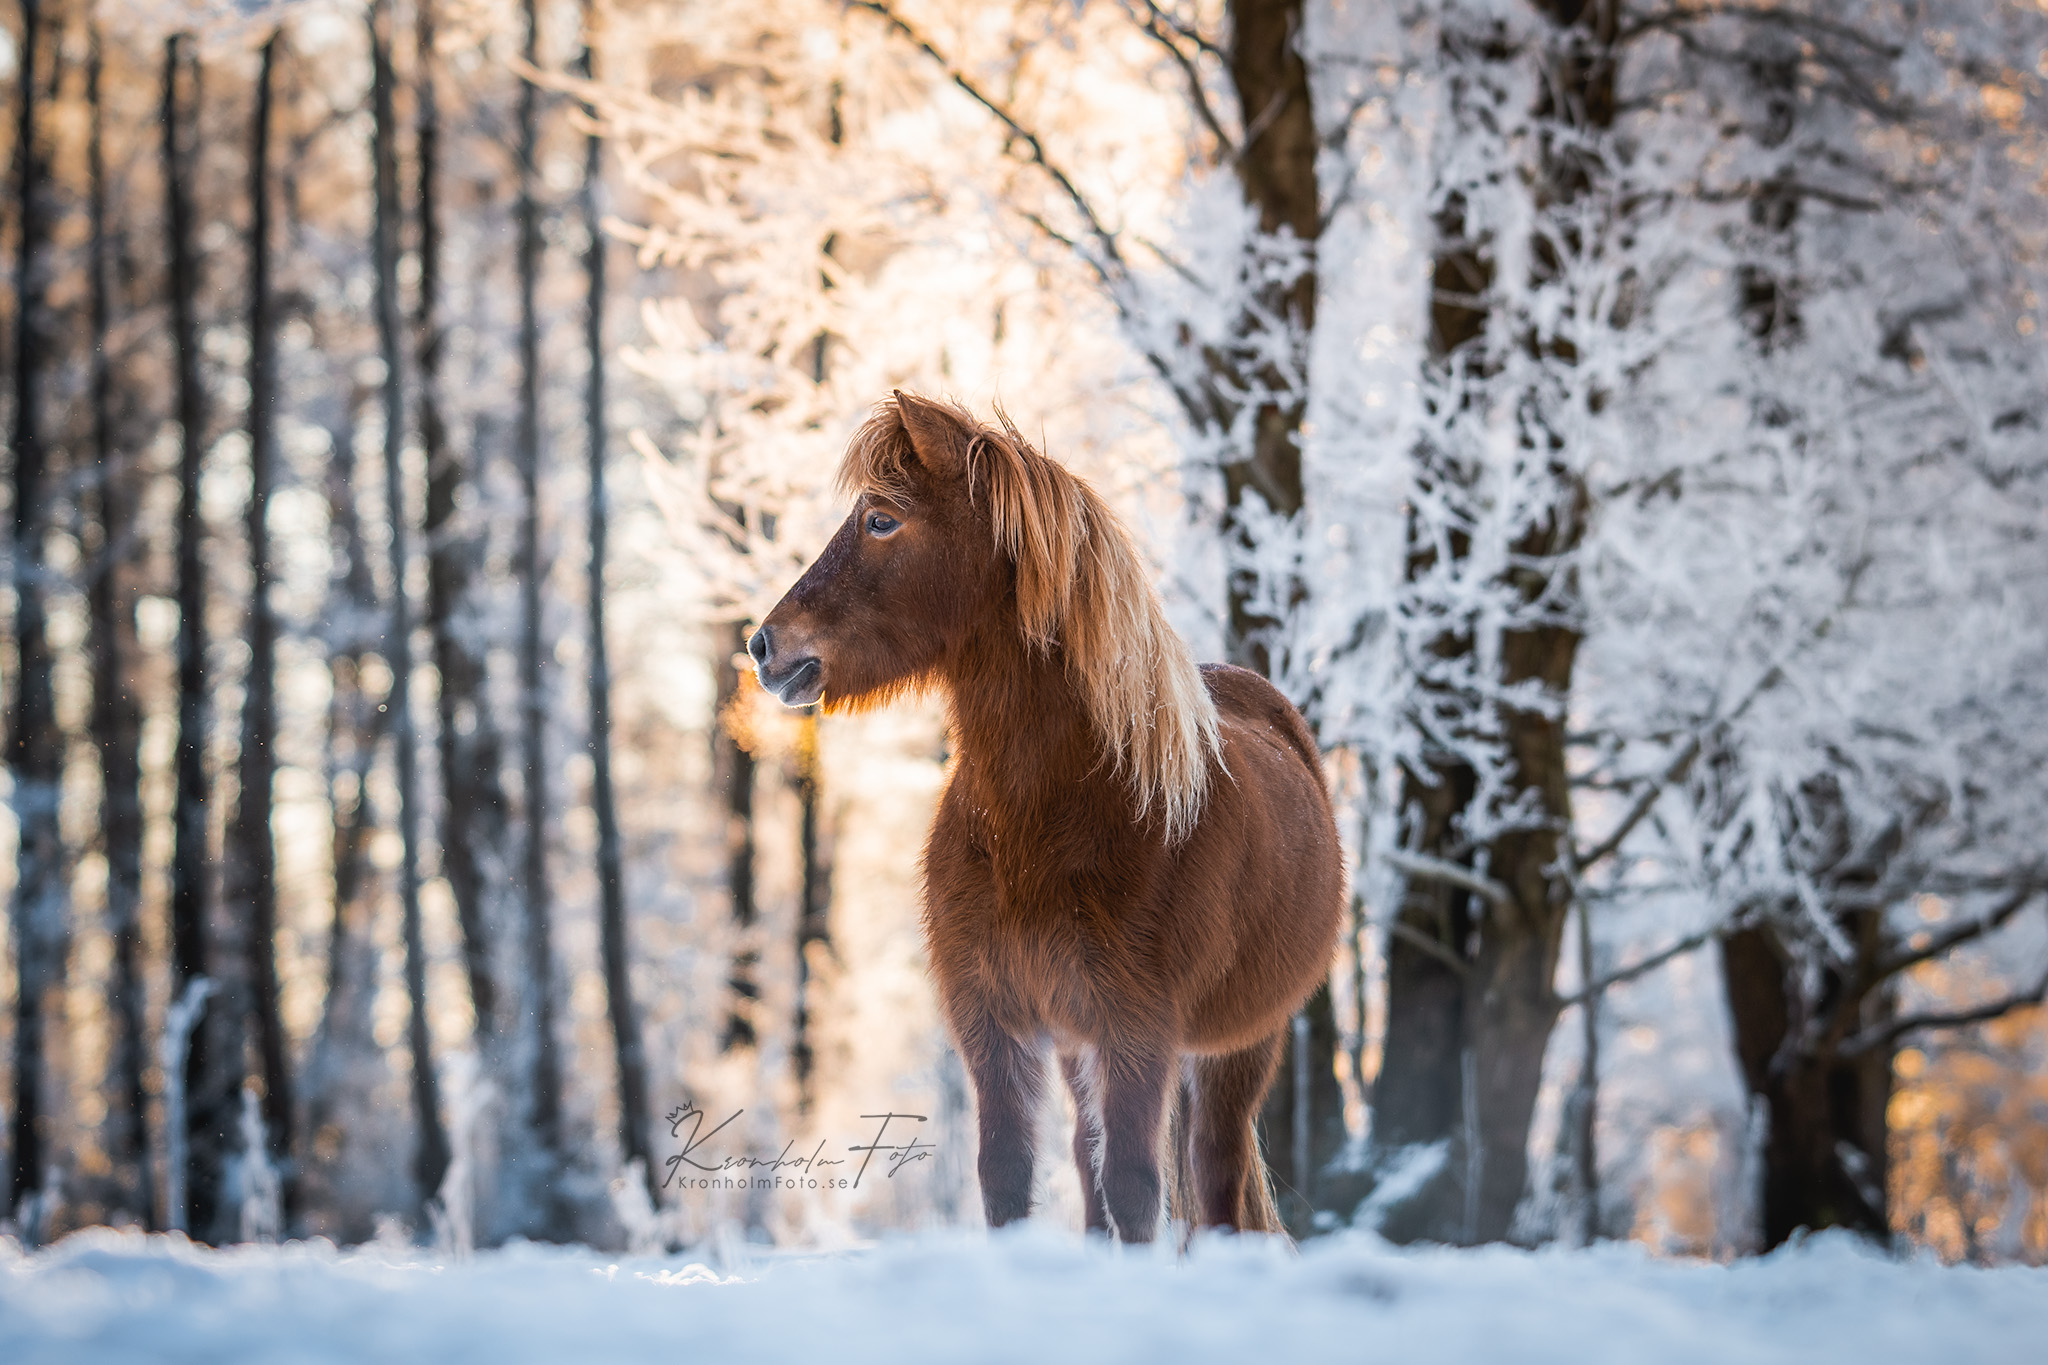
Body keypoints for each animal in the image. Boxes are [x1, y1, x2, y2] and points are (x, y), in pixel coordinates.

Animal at [749, 388, 1343, 1244]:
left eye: (881, 519)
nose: (765, 646)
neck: (1055, 816)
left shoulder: (1138, 1030)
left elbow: (1136, 1186)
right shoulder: (995, 1022)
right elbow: (1009, 1174)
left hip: (1239, 1046)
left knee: (1214, 1174)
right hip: (1079, 1044)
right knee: (1093, 1164)